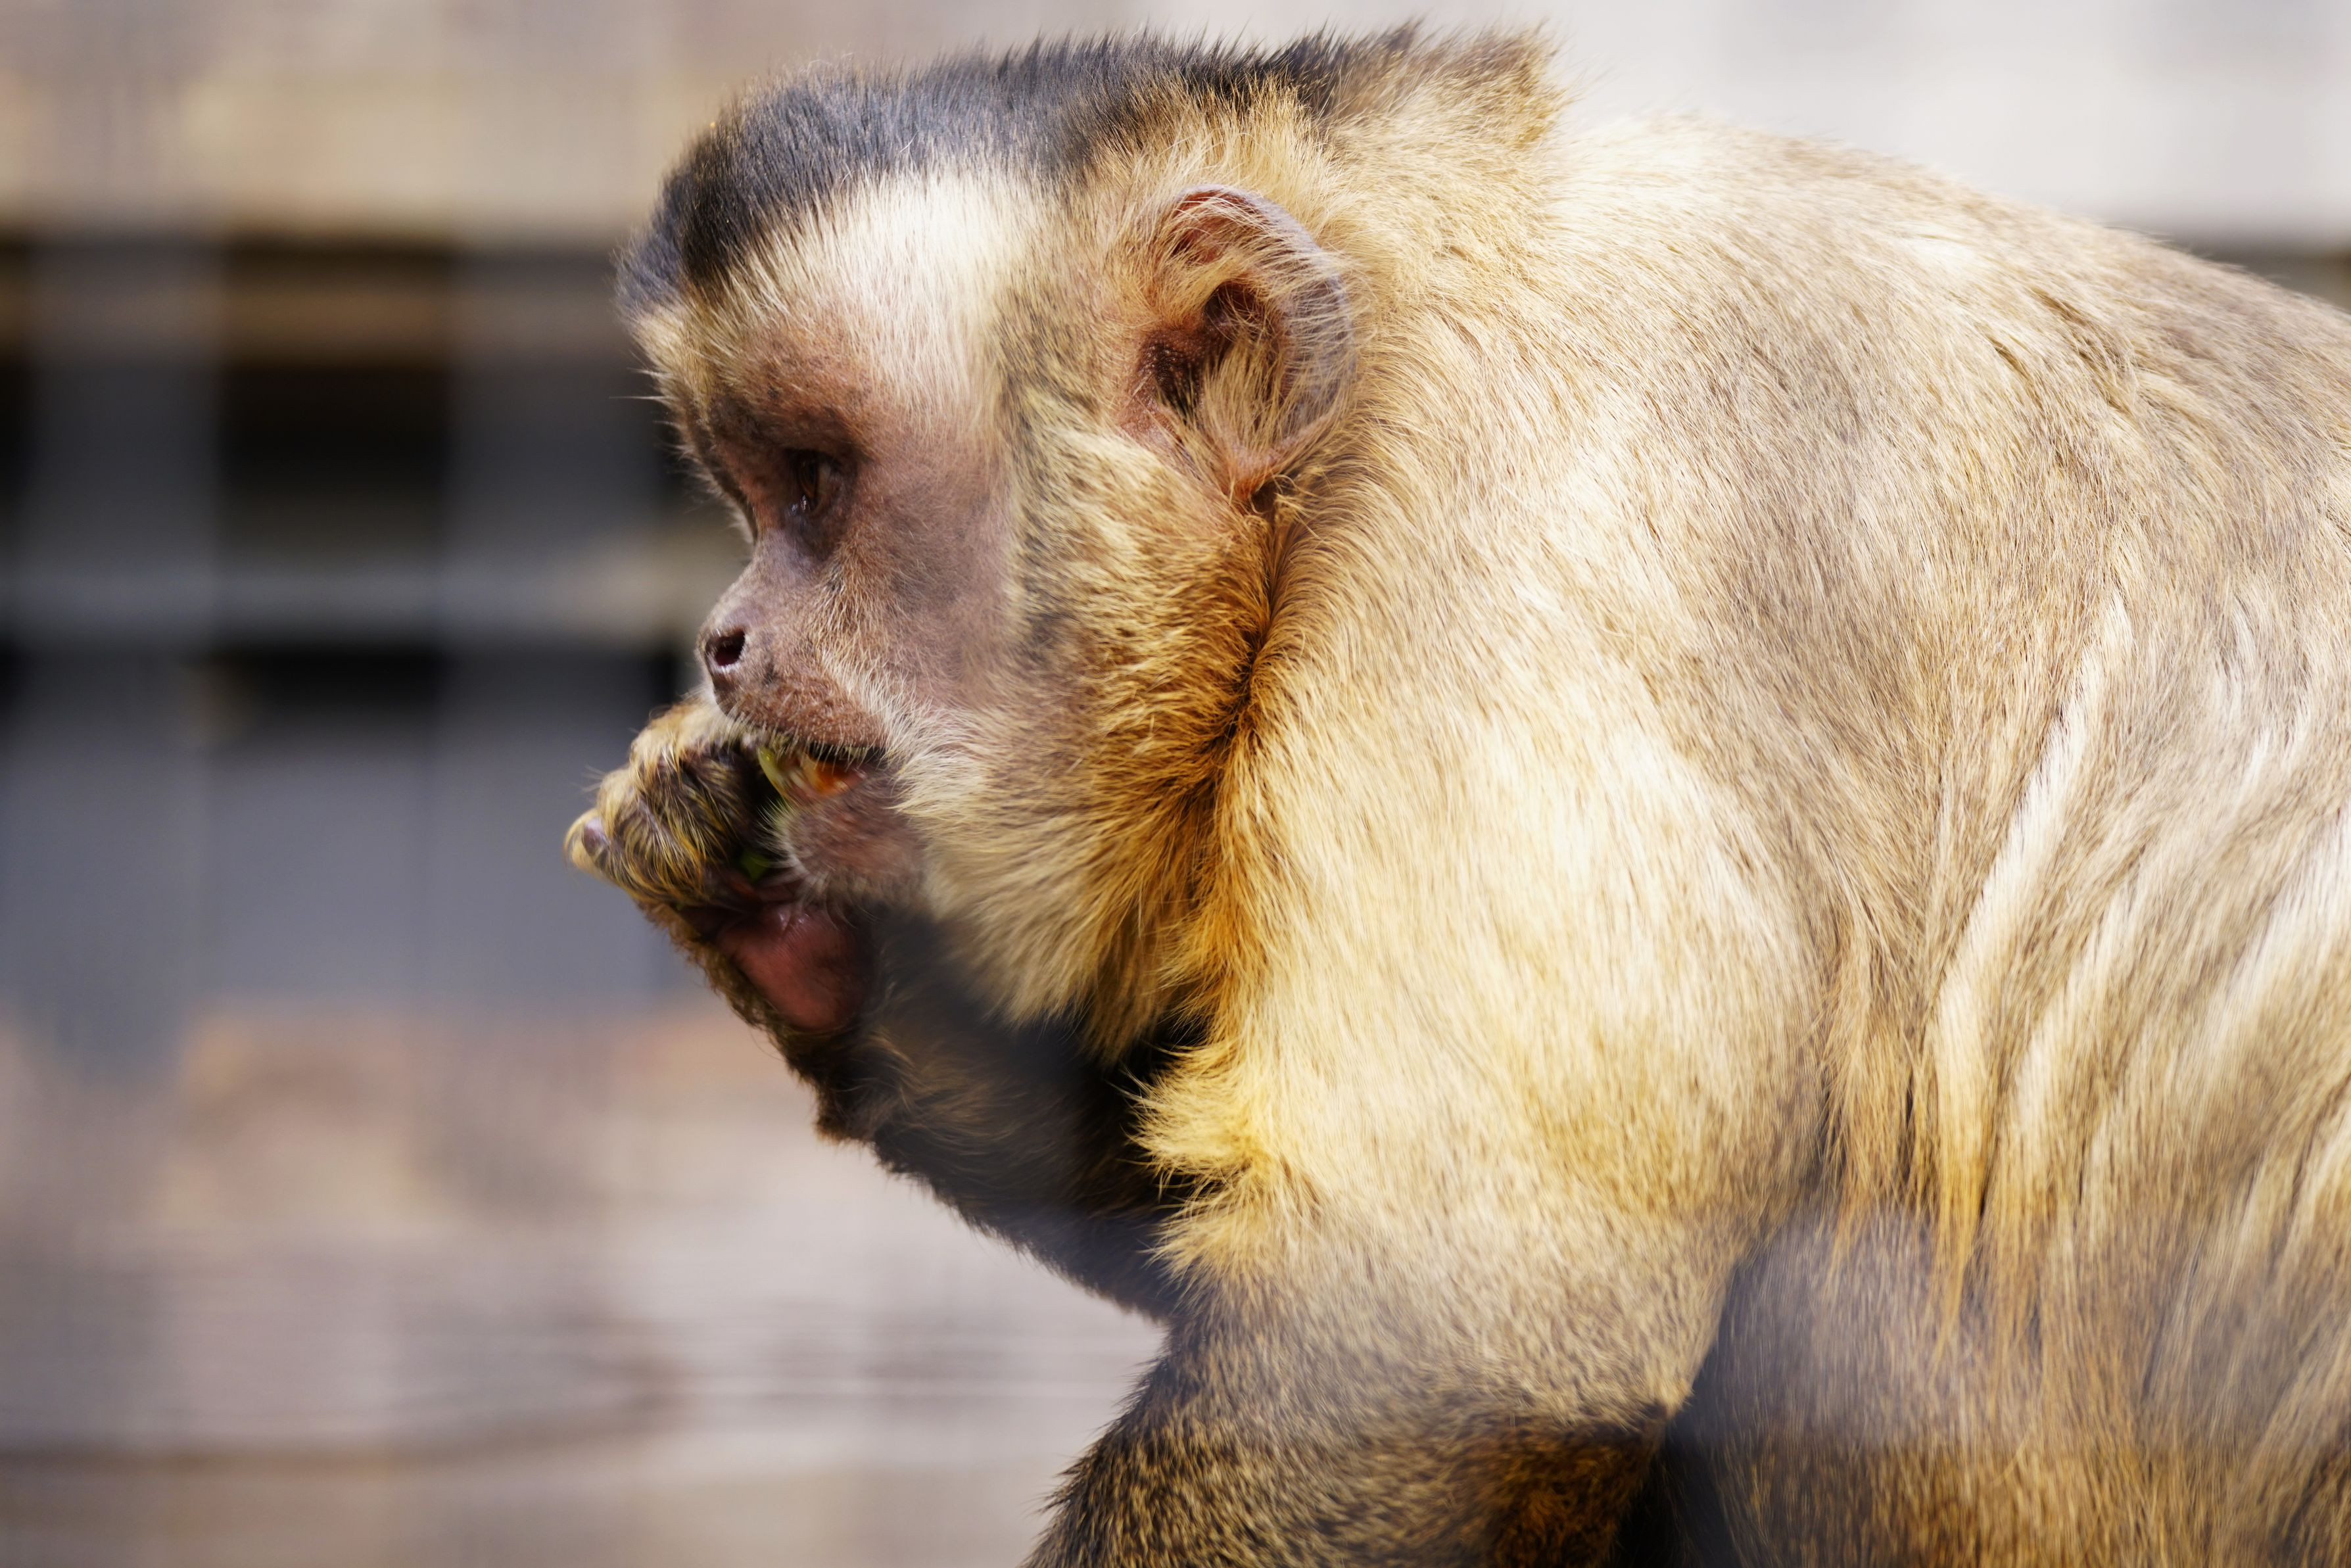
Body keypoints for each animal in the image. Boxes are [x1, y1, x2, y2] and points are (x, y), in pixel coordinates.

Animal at [564, 27, 2351, 1566]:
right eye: (752, 496)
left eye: (817, 487)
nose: (728, 635)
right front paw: (782, 924)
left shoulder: (1492, 548)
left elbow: (1457, 1338)